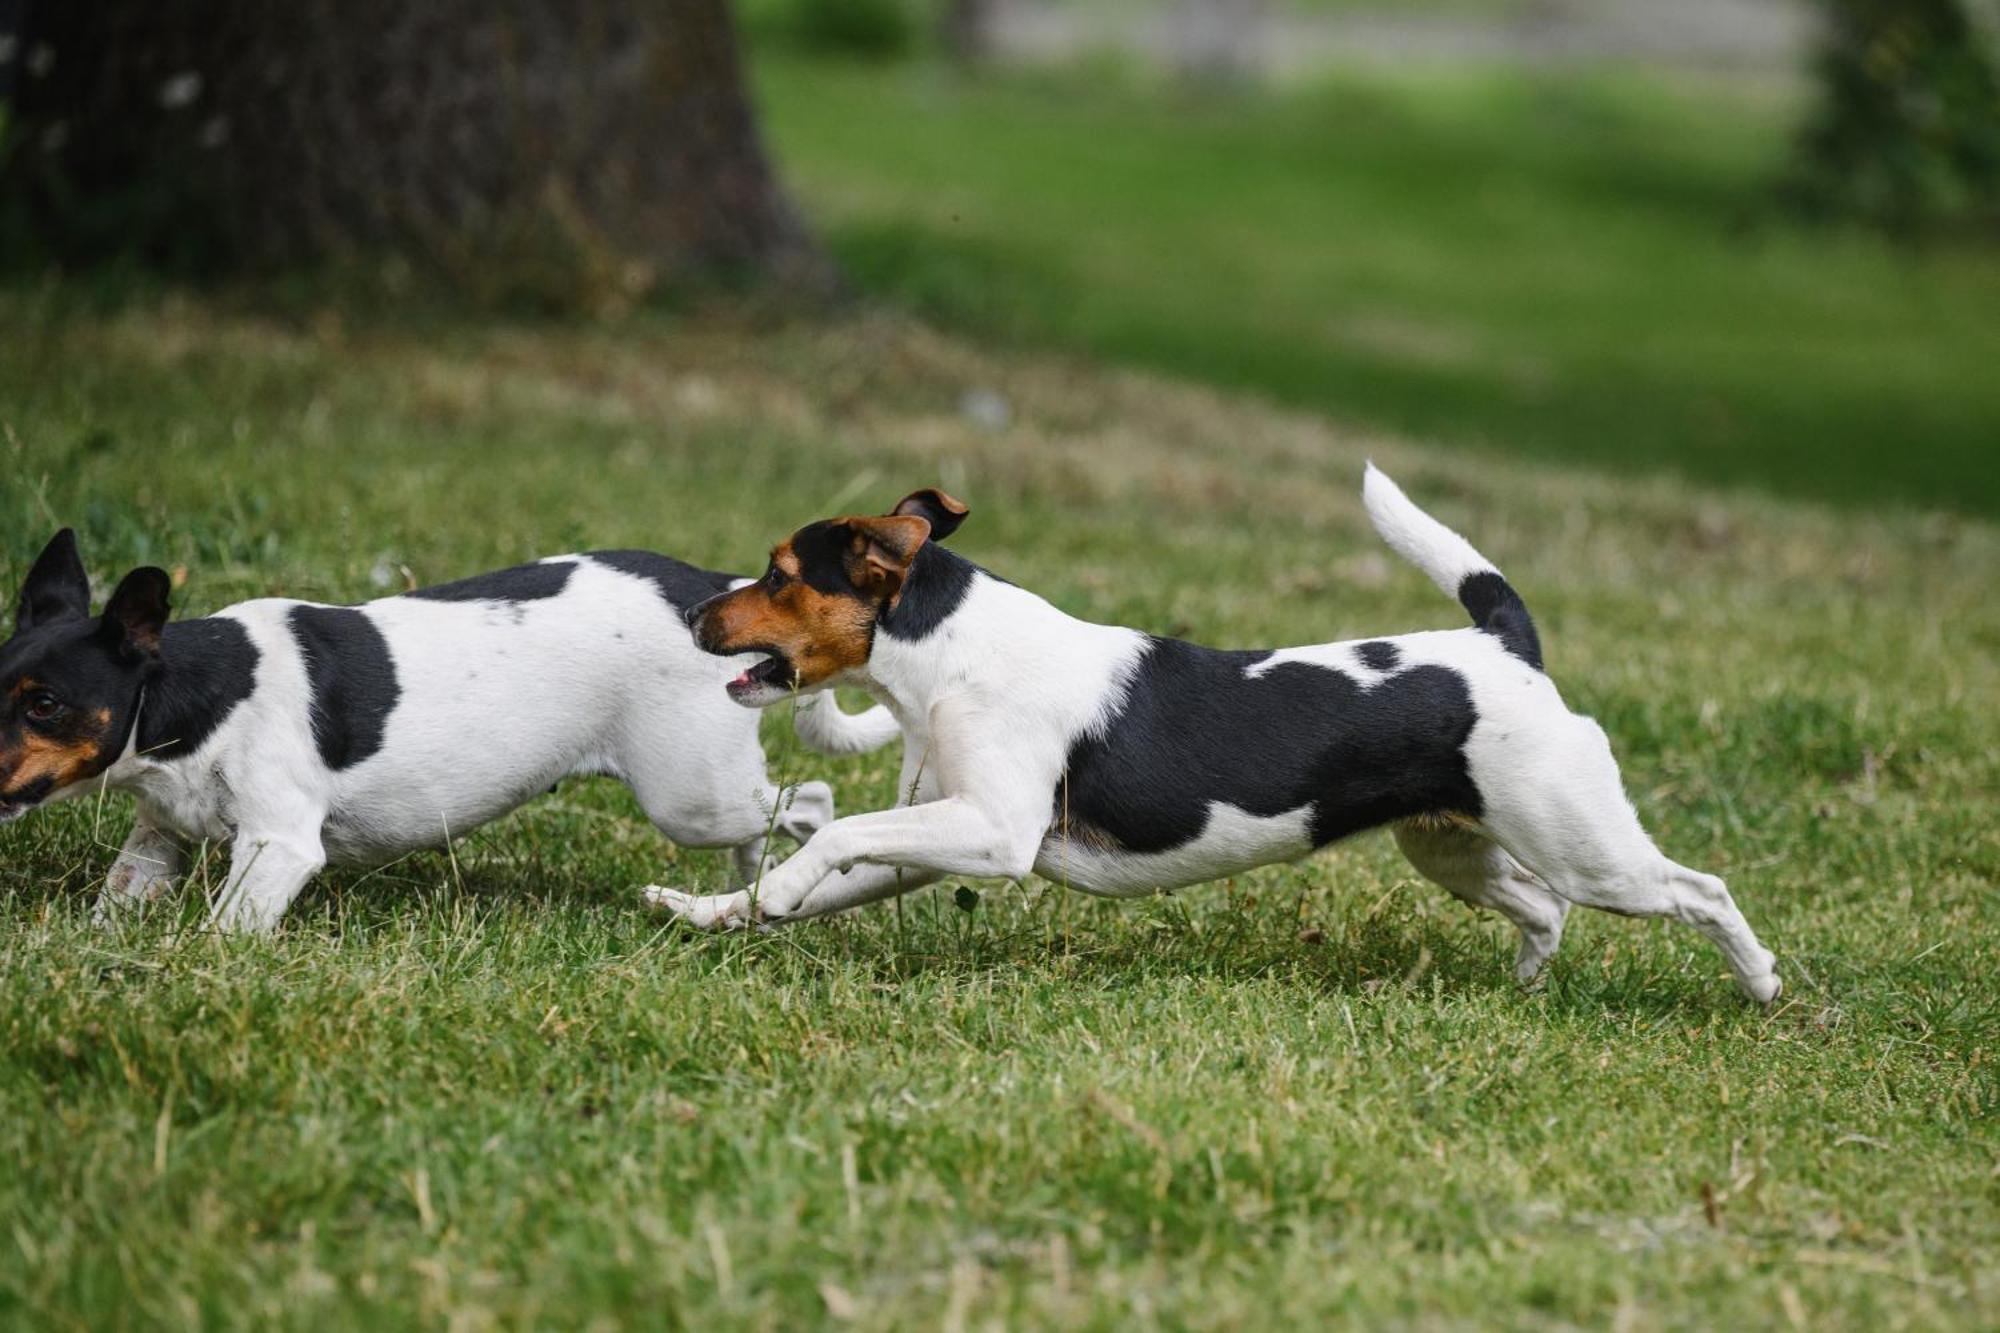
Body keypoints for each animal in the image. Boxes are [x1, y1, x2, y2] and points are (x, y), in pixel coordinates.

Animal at [0, 528, 896, 924]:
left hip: (691, 795)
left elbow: (226, 928)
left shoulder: (278, 845)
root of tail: (715, 582)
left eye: (44, 703)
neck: (200, 686)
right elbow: (119, 899)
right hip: (707, 797)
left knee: (809, 800)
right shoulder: (158, 837)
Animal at [652, 466, 1784, 996]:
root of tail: (1506, 643)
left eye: (781, 576)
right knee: (1540, 908)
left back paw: (1762, 984)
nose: (696, 614)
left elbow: (833, 839)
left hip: (1588, 846)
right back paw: (1525, 988)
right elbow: (813, 878)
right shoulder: (937, 837)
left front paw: (759, 898)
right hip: (1452, 846)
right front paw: (711, 912)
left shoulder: (995, 832)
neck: (945, 650)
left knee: (1699, 890)